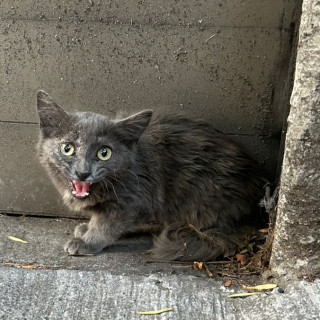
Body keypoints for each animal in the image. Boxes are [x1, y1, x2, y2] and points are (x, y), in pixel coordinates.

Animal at [36, 89, 268, 260]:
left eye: (104, 153)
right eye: (67, 148)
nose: (83, 172)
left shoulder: (130, 198)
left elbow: (106, 224)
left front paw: (88, 241)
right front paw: (87, 228)